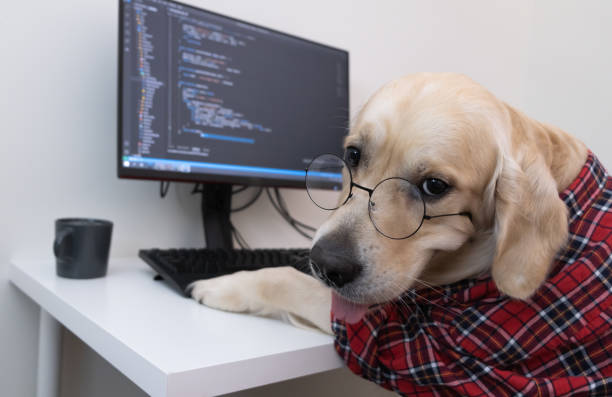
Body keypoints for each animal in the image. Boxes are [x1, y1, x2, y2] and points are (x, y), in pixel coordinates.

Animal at [189, 73, 608, 392]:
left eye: (434, 186)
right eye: (353, 155)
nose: (326, 264)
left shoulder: (411, 345)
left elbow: (287, 279)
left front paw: (222, 284)